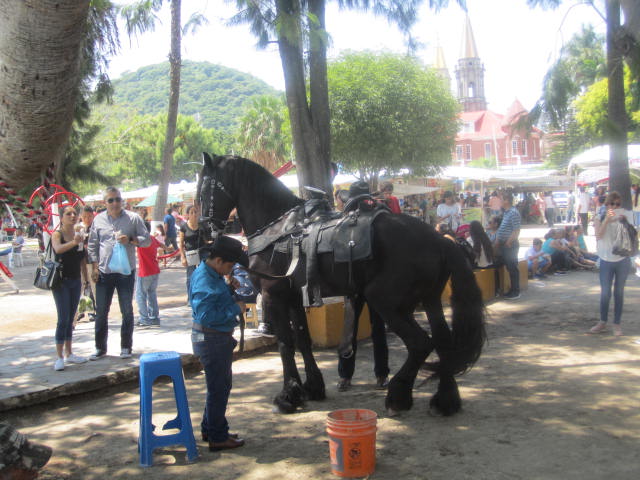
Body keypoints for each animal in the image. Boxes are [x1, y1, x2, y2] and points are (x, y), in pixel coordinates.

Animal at [199, 154, 484, 416]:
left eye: (203, 189)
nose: (203, 229)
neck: (280, 231)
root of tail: (438, 239)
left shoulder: (274, 296)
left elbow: (285, 344)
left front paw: (288, 395)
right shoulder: (294, 297)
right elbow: (303, 340)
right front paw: (313, 387)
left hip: (386, 301)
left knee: (421, 344)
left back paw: (398, 394)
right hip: (430, 299)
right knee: (443, 341)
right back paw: (446, 399)